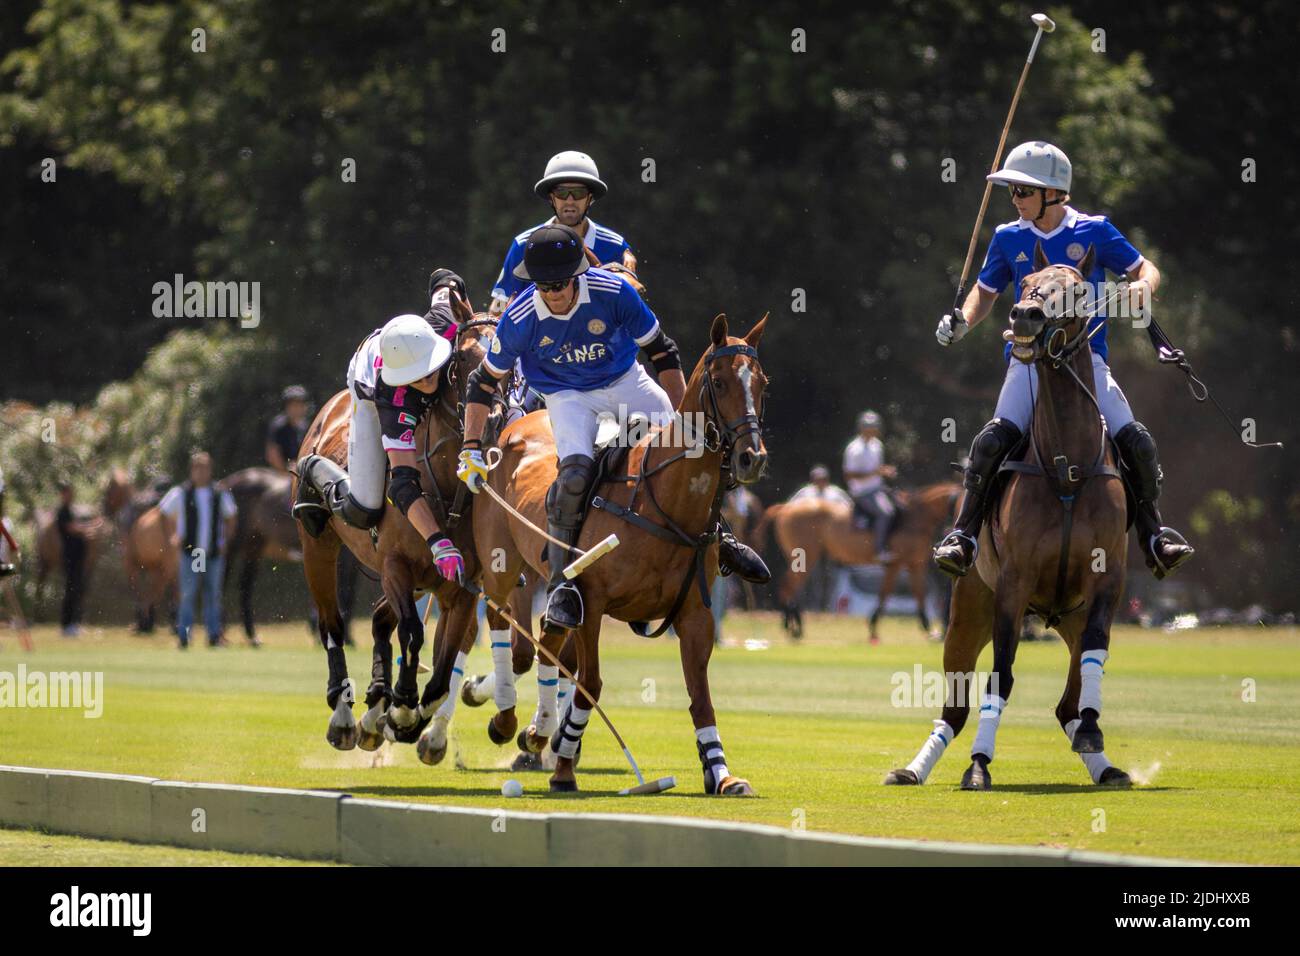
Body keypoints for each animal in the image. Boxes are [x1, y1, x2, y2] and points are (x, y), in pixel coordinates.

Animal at [295, 306, 512, 764]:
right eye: (463, 359)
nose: (490, 425)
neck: (447, 487)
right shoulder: (396, 566)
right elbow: (413, 633)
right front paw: (404, 709)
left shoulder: (462, 588)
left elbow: (445, 666)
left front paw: (404, 715)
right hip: (318, 548)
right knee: (332, 622)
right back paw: (345, 715)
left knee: (380, 619)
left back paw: (376, 705)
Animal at [759, 486, 961, 642]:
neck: (916, 519)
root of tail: (785, 508)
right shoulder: (896, 564)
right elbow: (885, 594)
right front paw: (873, 628)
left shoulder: (914, 565)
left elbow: (918, 595)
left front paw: (929, 629)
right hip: (806, 556)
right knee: (788, 586)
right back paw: (794, 628)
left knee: (788, 587)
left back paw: (792, 626)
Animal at [889, 244, 1133, 790]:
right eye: (1025, 284)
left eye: (1077, 289)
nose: (1024, 315)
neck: (1066, 466)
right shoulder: (1013, 586)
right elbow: (1000, 675)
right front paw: (979, 766)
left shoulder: (1106, 582)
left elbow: (1096, 656)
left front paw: (1094, 734)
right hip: (968, 612)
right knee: (954, 707)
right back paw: (913, 769)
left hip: (1071, 617)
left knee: (1067, 703)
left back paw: (1105, 765)